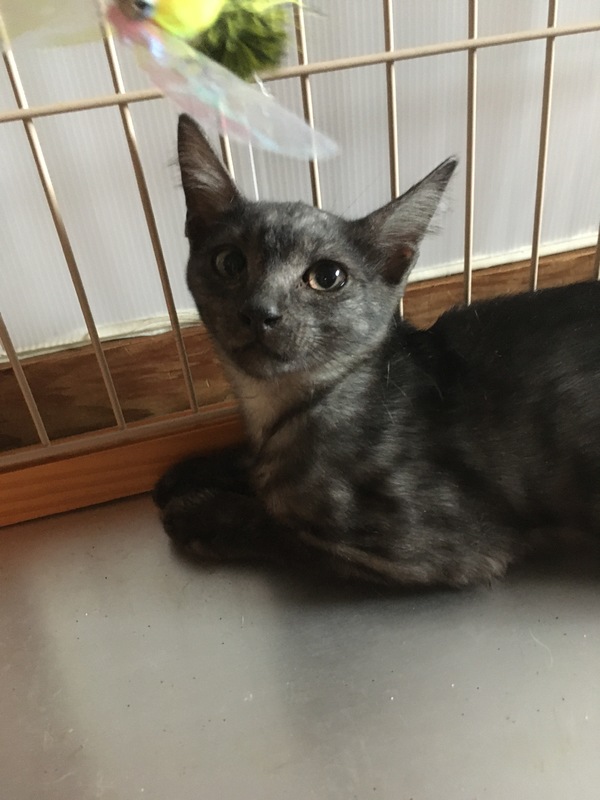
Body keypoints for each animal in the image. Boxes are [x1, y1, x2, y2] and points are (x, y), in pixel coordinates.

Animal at [154, 113, 600, 588]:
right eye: (230, 263)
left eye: (327, 277)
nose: (260, 311)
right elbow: (250, 466)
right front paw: (190, 472)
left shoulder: (445, 547)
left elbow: (284, 530)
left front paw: (200, 513)